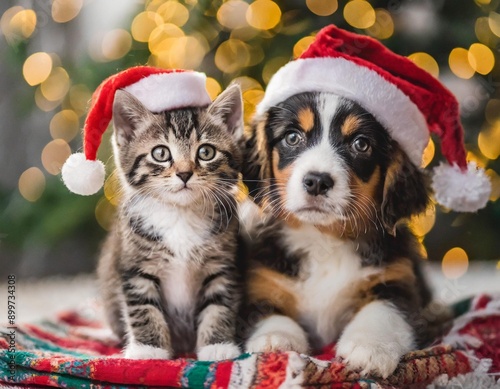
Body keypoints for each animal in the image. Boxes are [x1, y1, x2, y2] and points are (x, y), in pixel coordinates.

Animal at [96, 83, 244, 360]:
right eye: (161, 153)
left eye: (206, 152)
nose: (184, 173)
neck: (180, 215)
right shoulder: (135, 265)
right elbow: (143, 308)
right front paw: (148, 350)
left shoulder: (222, 264)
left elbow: (219, 304)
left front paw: (217, 346)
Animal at [240, 91, 432, 376]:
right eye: (292, 137)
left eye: (361, 144)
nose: (317, 181)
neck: (324, 238)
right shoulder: (259, 283)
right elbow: (266, 313)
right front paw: (276, 339)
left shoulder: (399, 281)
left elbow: (384, 310)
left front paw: (370, 347)